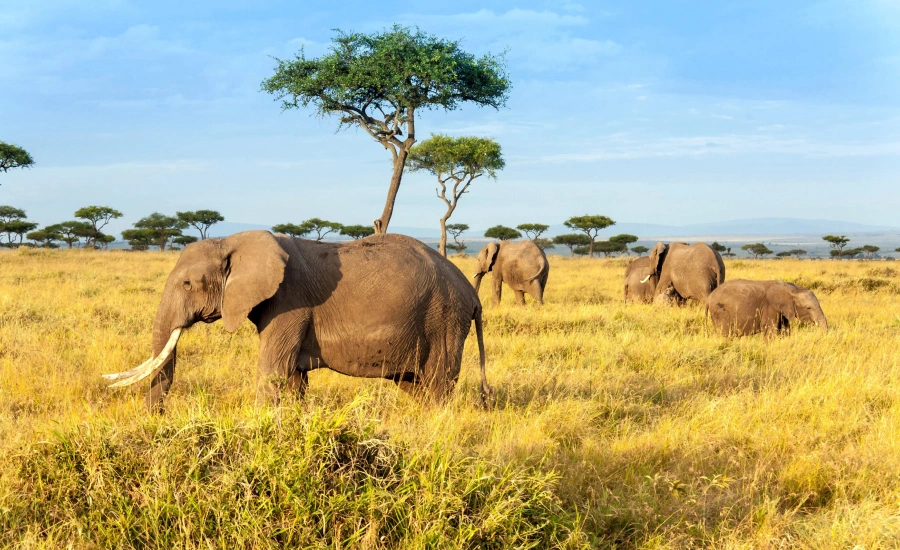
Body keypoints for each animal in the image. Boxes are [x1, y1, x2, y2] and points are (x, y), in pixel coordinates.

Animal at [103, 231, 490, 411]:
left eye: (187, 284)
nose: (155, 419)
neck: (232, 241)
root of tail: (473, 297)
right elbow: (292, 380)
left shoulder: (290, 302)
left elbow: (273, 372)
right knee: (415, 386)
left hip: (444, 319)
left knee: (437, 385)